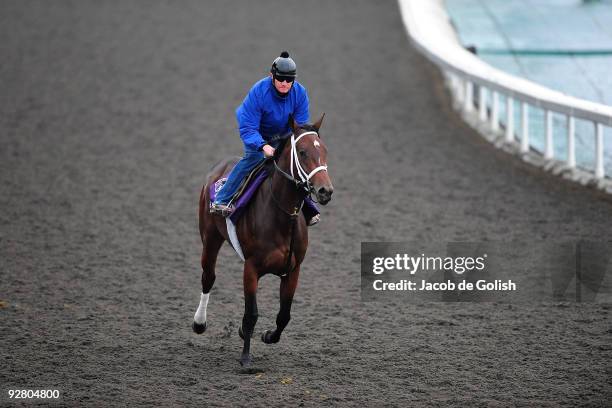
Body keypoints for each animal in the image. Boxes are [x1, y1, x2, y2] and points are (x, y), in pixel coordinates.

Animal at [192, 114, 332, 366]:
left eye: (324, 150)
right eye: (303, 152)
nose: (325, 190)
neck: (282, 217)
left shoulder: (293, 269)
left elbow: (284, 315)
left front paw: (267, 335)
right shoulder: (251, 268)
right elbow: (251, 314)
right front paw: (246, 358)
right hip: (209, 237)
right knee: (208, 277)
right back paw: (199, 323)